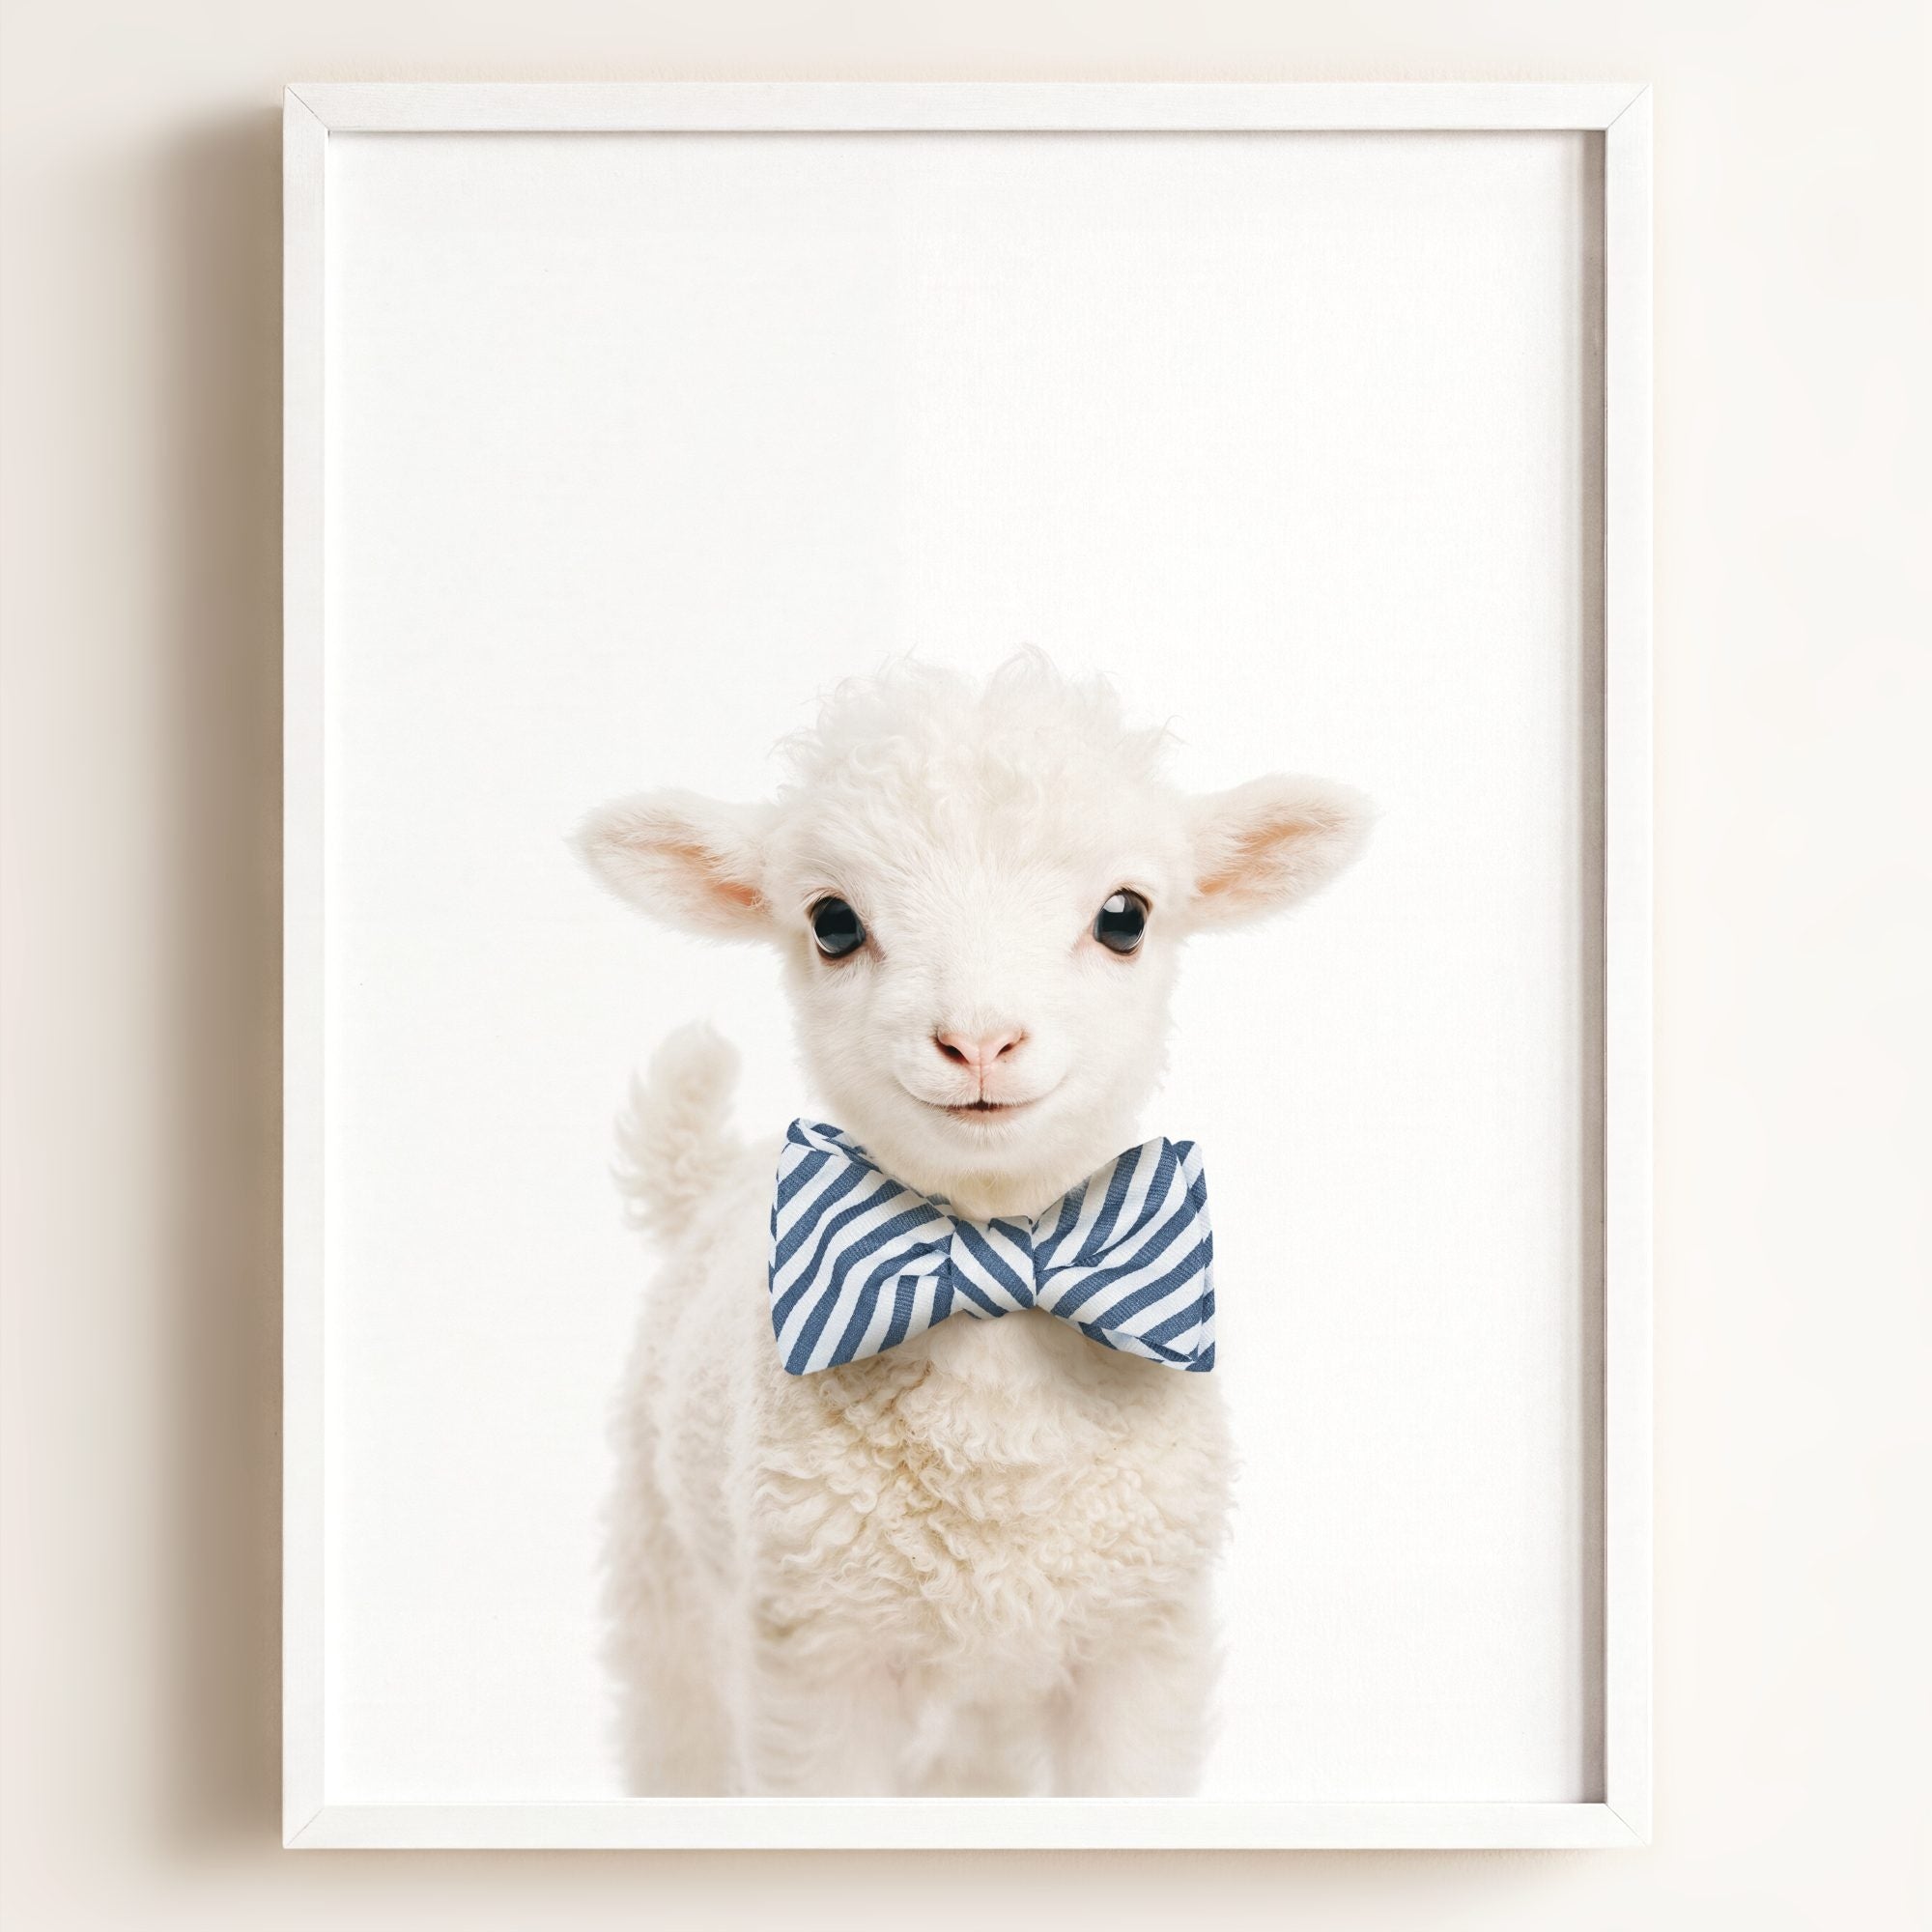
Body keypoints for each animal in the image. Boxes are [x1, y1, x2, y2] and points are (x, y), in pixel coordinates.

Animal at [575, 652, 1370, 1796]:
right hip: (668, 1578)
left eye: (1125, 916)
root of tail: (713, 1177)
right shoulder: (816, 1655)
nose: (980, 1039)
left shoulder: (1140, 1644)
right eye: (832, 922)